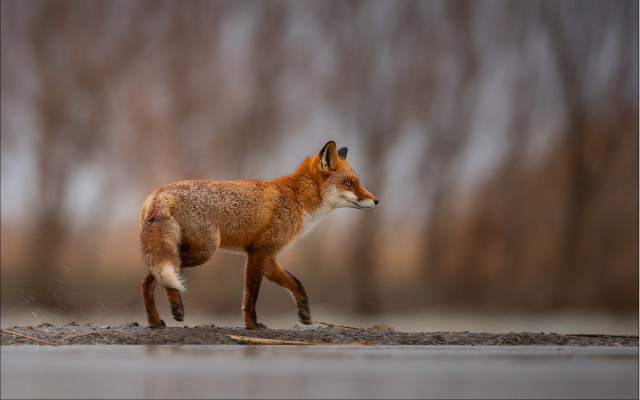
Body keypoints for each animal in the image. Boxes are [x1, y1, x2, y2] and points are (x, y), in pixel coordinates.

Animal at [139, 141, 378, 329]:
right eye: (349, 183)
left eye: (357, 182)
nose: (376, 201)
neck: (296, 198)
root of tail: (160, 192)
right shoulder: (258, 253)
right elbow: (251, 295)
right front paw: (252, 325)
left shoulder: (270, 257)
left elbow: (295, 283)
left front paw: (304, 313)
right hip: (203, 252)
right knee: (158, 274)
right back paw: (174, 306)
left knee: (150, 280)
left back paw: (155, 321)